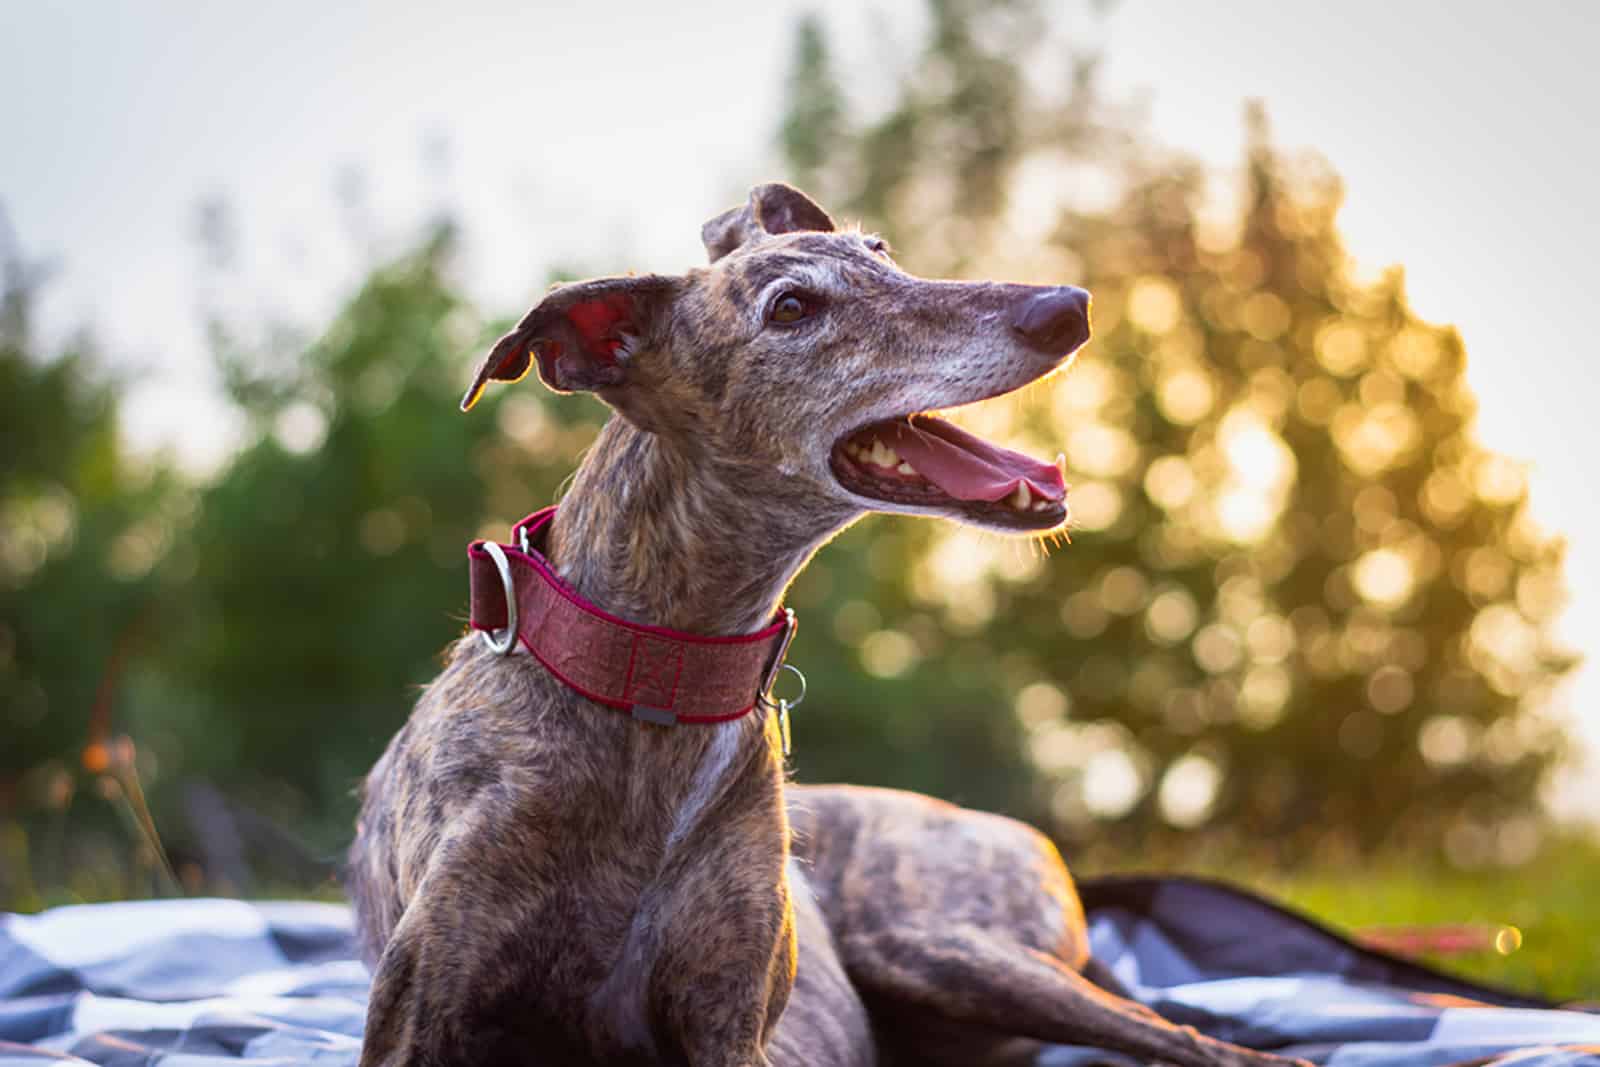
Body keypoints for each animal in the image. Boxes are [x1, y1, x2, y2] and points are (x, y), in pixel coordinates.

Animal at [350, 183, 1312, 1067]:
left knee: (1194, 1036)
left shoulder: (731, 1024)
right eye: (792, 308)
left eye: (881, 251)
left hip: (946, 946)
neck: (648, 681)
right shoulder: (421, 1018)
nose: (1067, 308)